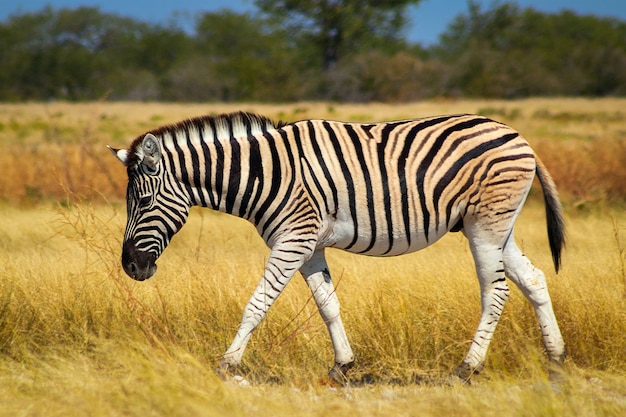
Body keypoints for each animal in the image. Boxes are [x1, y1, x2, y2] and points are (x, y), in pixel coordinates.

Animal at [108, 110, 564, 384]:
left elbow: (257, 303)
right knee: (534, 279)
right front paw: (343, 366)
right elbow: (328, 304)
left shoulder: (293, 238)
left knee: (496, 291)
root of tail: (517, 135)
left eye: (143, 202)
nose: (131, 267)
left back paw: (466, 368)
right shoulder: (308, 245)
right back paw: (556, 358)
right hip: (493, 226)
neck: (263, 173)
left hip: (485, 225)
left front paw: (227, 364)